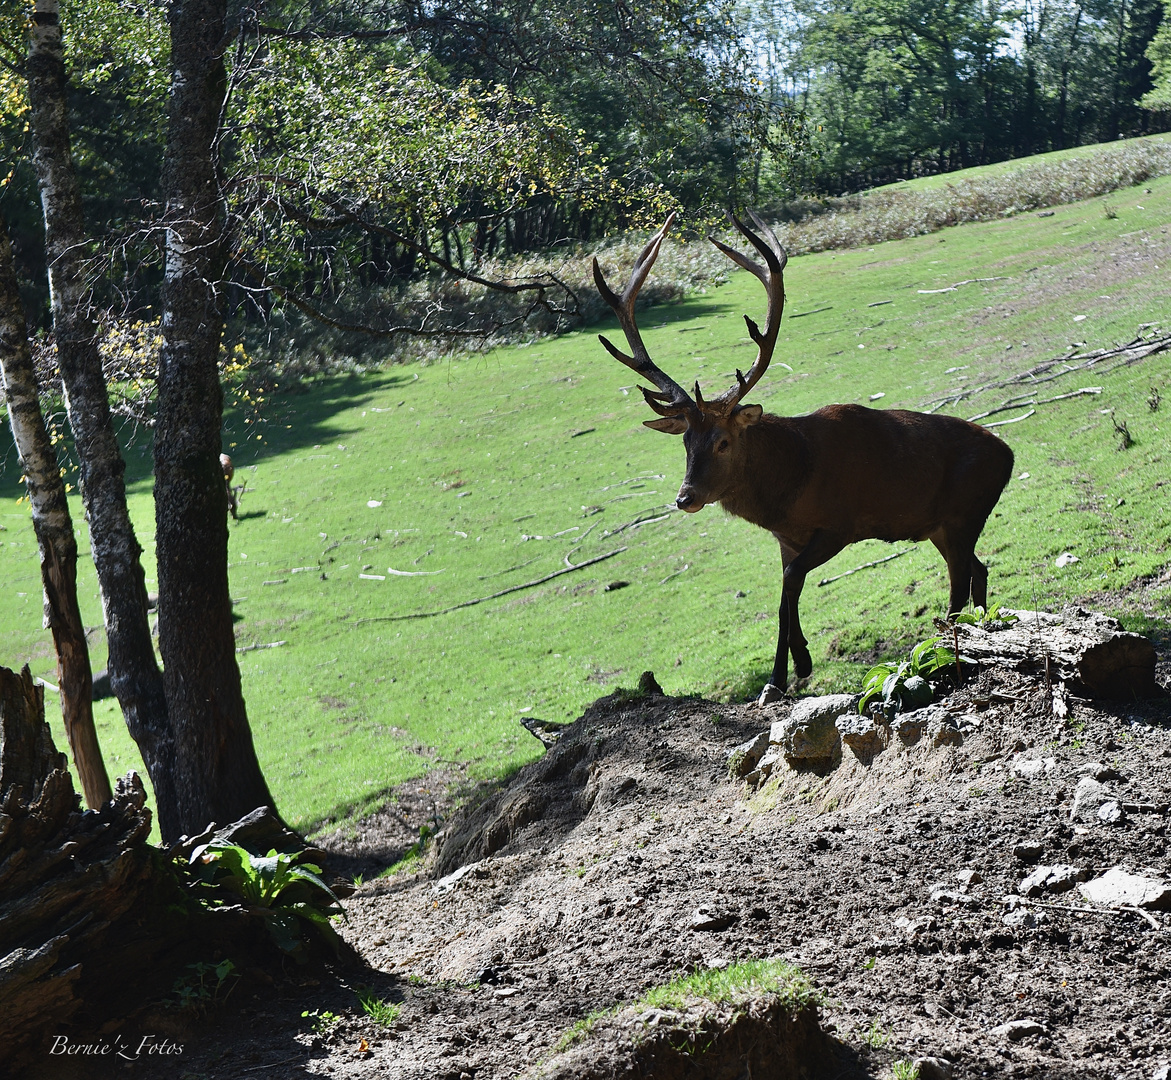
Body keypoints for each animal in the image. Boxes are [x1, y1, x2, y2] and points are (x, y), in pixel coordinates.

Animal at [594, 213, 1016, 702]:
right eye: (685, 443)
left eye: (723, 442)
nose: (686, 498)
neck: (790, 488)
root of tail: (1009, 453)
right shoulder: (787, 539)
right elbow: (785, 590)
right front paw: (794, 665)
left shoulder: (840, 525)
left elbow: (789, 586)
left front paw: (786, 672)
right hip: (941, 527)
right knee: (978, 569)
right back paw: (978, 633)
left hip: (965, 512)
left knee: (960, 581)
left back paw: (951, 645)